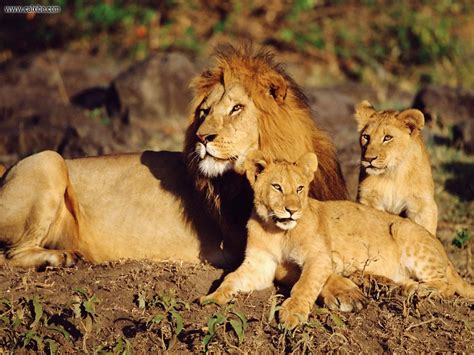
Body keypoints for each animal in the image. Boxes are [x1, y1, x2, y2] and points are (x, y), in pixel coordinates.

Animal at [0, 43, 352, 306]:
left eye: (237, 108)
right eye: (204, 112)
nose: (202, 137)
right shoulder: (244, 244)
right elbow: (298, 268)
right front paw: (343, 289)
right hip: (48, 160)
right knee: (11, 255)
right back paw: (59, 258)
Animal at [201, 152, 474, 330]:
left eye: (300, 188)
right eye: (277, 187)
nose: (292, 210)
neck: (277, 230)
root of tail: (447, 256)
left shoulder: (320, 257)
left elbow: (306, 284)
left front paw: (292, 313)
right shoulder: (260, 264)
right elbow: (232, 278)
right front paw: (212, 297)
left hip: (404, 230)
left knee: (445, 285)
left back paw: (416, 290)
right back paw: (395, 287)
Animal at [354, 100, 438, 236]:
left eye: (387, 138)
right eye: (366, 137)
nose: (368, 159)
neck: (393, 174)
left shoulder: (422, 204)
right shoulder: (368, 198)